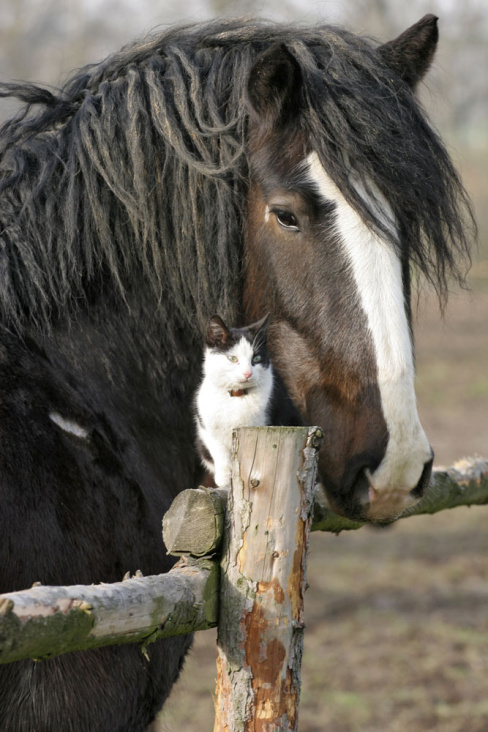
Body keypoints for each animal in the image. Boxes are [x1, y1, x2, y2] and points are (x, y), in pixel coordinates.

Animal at [194, 314, 272, 486]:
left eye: (256, 358)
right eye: (232, 358)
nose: (247, 373)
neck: (236, 395)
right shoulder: (206, 426)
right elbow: (218, 449)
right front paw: (224, 479)